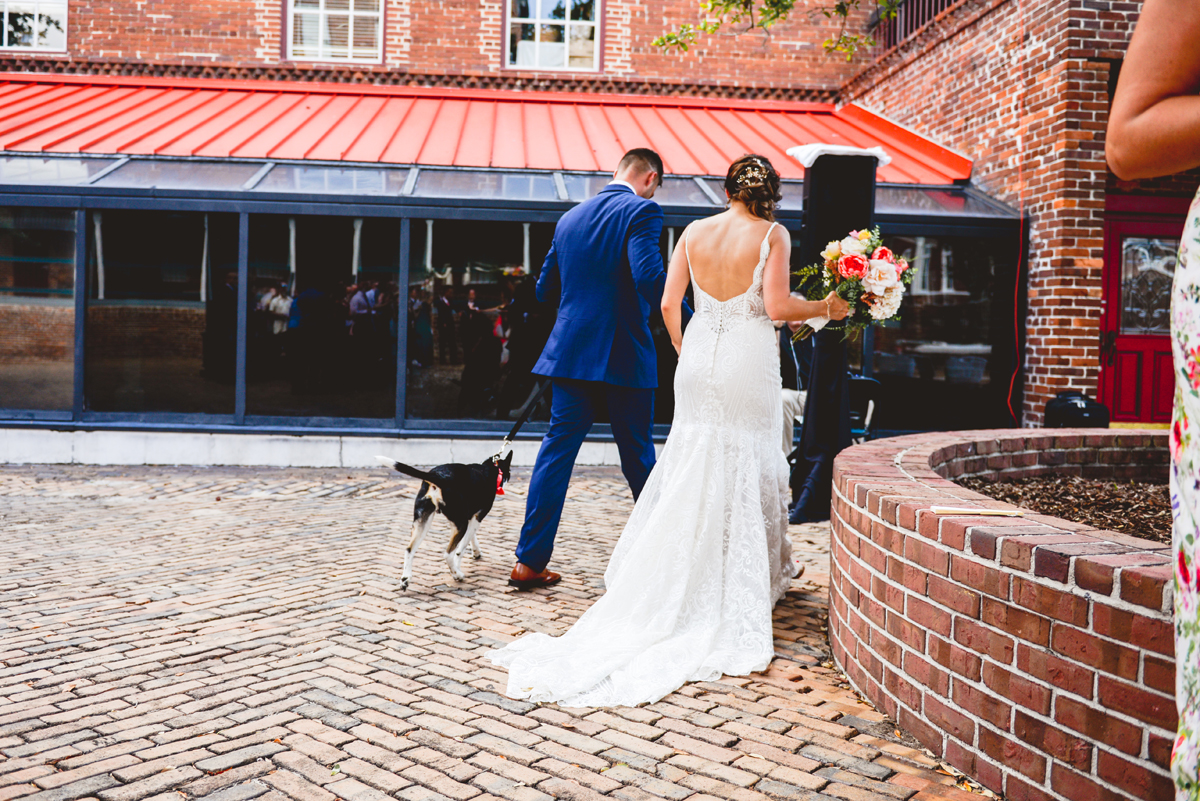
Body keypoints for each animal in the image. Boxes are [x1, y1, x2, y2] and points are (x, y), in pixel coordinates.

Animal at [372, 453, 508, 592]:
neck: (489, 469)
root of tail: (437, 476)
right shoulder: (476, 518)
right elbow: (461, 549)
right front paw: (460, 565)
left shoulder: (471, 518)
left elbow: (471, 537)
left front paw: (476, 552)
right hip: (460, 524)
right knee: (448, 554)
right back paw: (457, 575)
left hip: (422, 522)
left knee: (409, 549)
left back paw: (405, 579)